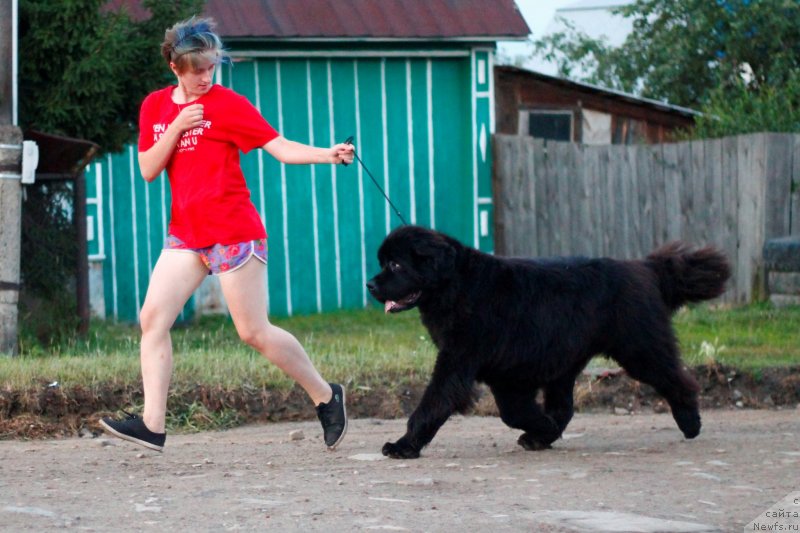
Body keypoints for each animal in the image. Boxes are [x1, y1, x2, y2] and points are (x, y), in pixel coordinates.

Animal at [368, 224, 732, 458]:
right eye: (382, 262)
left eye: (395, 264)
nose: (370, 285)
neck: (457, 285)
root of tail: (644, 267)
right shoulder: (506, 374)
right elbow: (514, 412)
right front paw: (542, 429)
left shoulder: (459, 362)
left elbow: (433, 403)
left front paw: (403, 446)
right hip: (566, 359)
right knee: (565, 406)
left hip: (640, 348)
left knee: (677, 380)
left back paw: (690, 423)